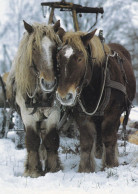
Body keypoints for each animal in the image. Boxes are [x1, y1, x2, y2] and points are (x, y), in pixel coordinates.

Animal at [6, 20, 62, 177]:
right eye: (35, 48)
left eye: (55, 48)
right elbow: (32, 140)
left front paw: (53, 169)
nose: (49, 83)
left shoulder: (54, 114)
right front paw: (32, 171)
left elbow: (51, 139)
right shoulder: (27, 115)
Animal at [55, 28, 136, 172]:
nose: (64, 96)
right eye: (58, 57)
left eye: (80, 58)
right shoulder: (81, 115)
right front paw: (86, 168)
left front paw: (110, 164)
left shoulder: (113, 113)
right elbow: (86, 141)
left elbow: (109, 137)